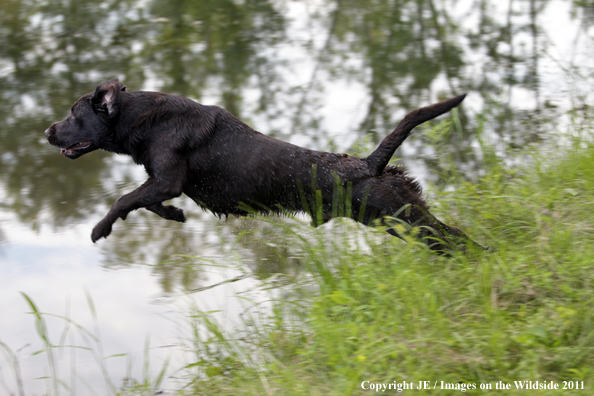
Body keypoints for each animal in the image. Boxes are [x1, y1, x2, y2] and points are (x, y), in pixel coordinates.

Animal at [45, 78, 480, 252]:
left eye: (73, 114)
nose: (48, 131)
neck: (144, 118)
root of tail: (369, 164)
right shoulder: (163, 183)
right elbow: (146, 201)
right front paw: (175, 215)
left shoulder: (167, 178)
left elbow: (124, 200)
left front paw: (99, 228)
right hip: (404, 216)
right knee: (455, 236)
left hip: (400, 218)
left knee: (454, 239)